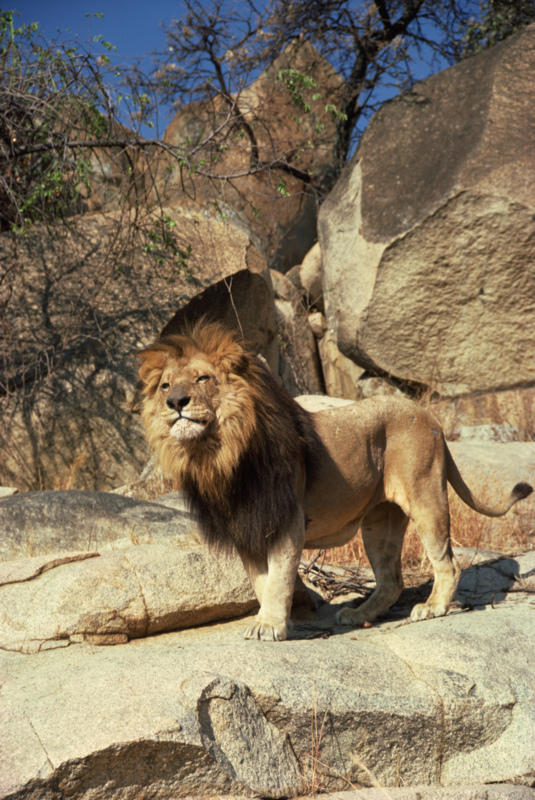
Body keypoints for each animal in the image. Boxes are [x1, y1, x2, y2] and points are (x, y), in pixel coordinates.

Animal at [137, 320, 533, 642]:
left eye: (203, 378)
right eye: (165, 386)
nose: (176, 401)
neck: (218, 454)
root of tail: (431, 418)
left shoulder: (287, 521)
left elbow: (278, 578)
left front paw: (270, 626)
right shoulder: (246, 528)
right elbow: (262, 582)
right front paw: (271, 620)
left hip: (425, 497)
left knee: (447, 562)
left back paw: (432, 608)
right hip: (379, 522)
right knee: (392, 580)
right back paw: (358, 615)